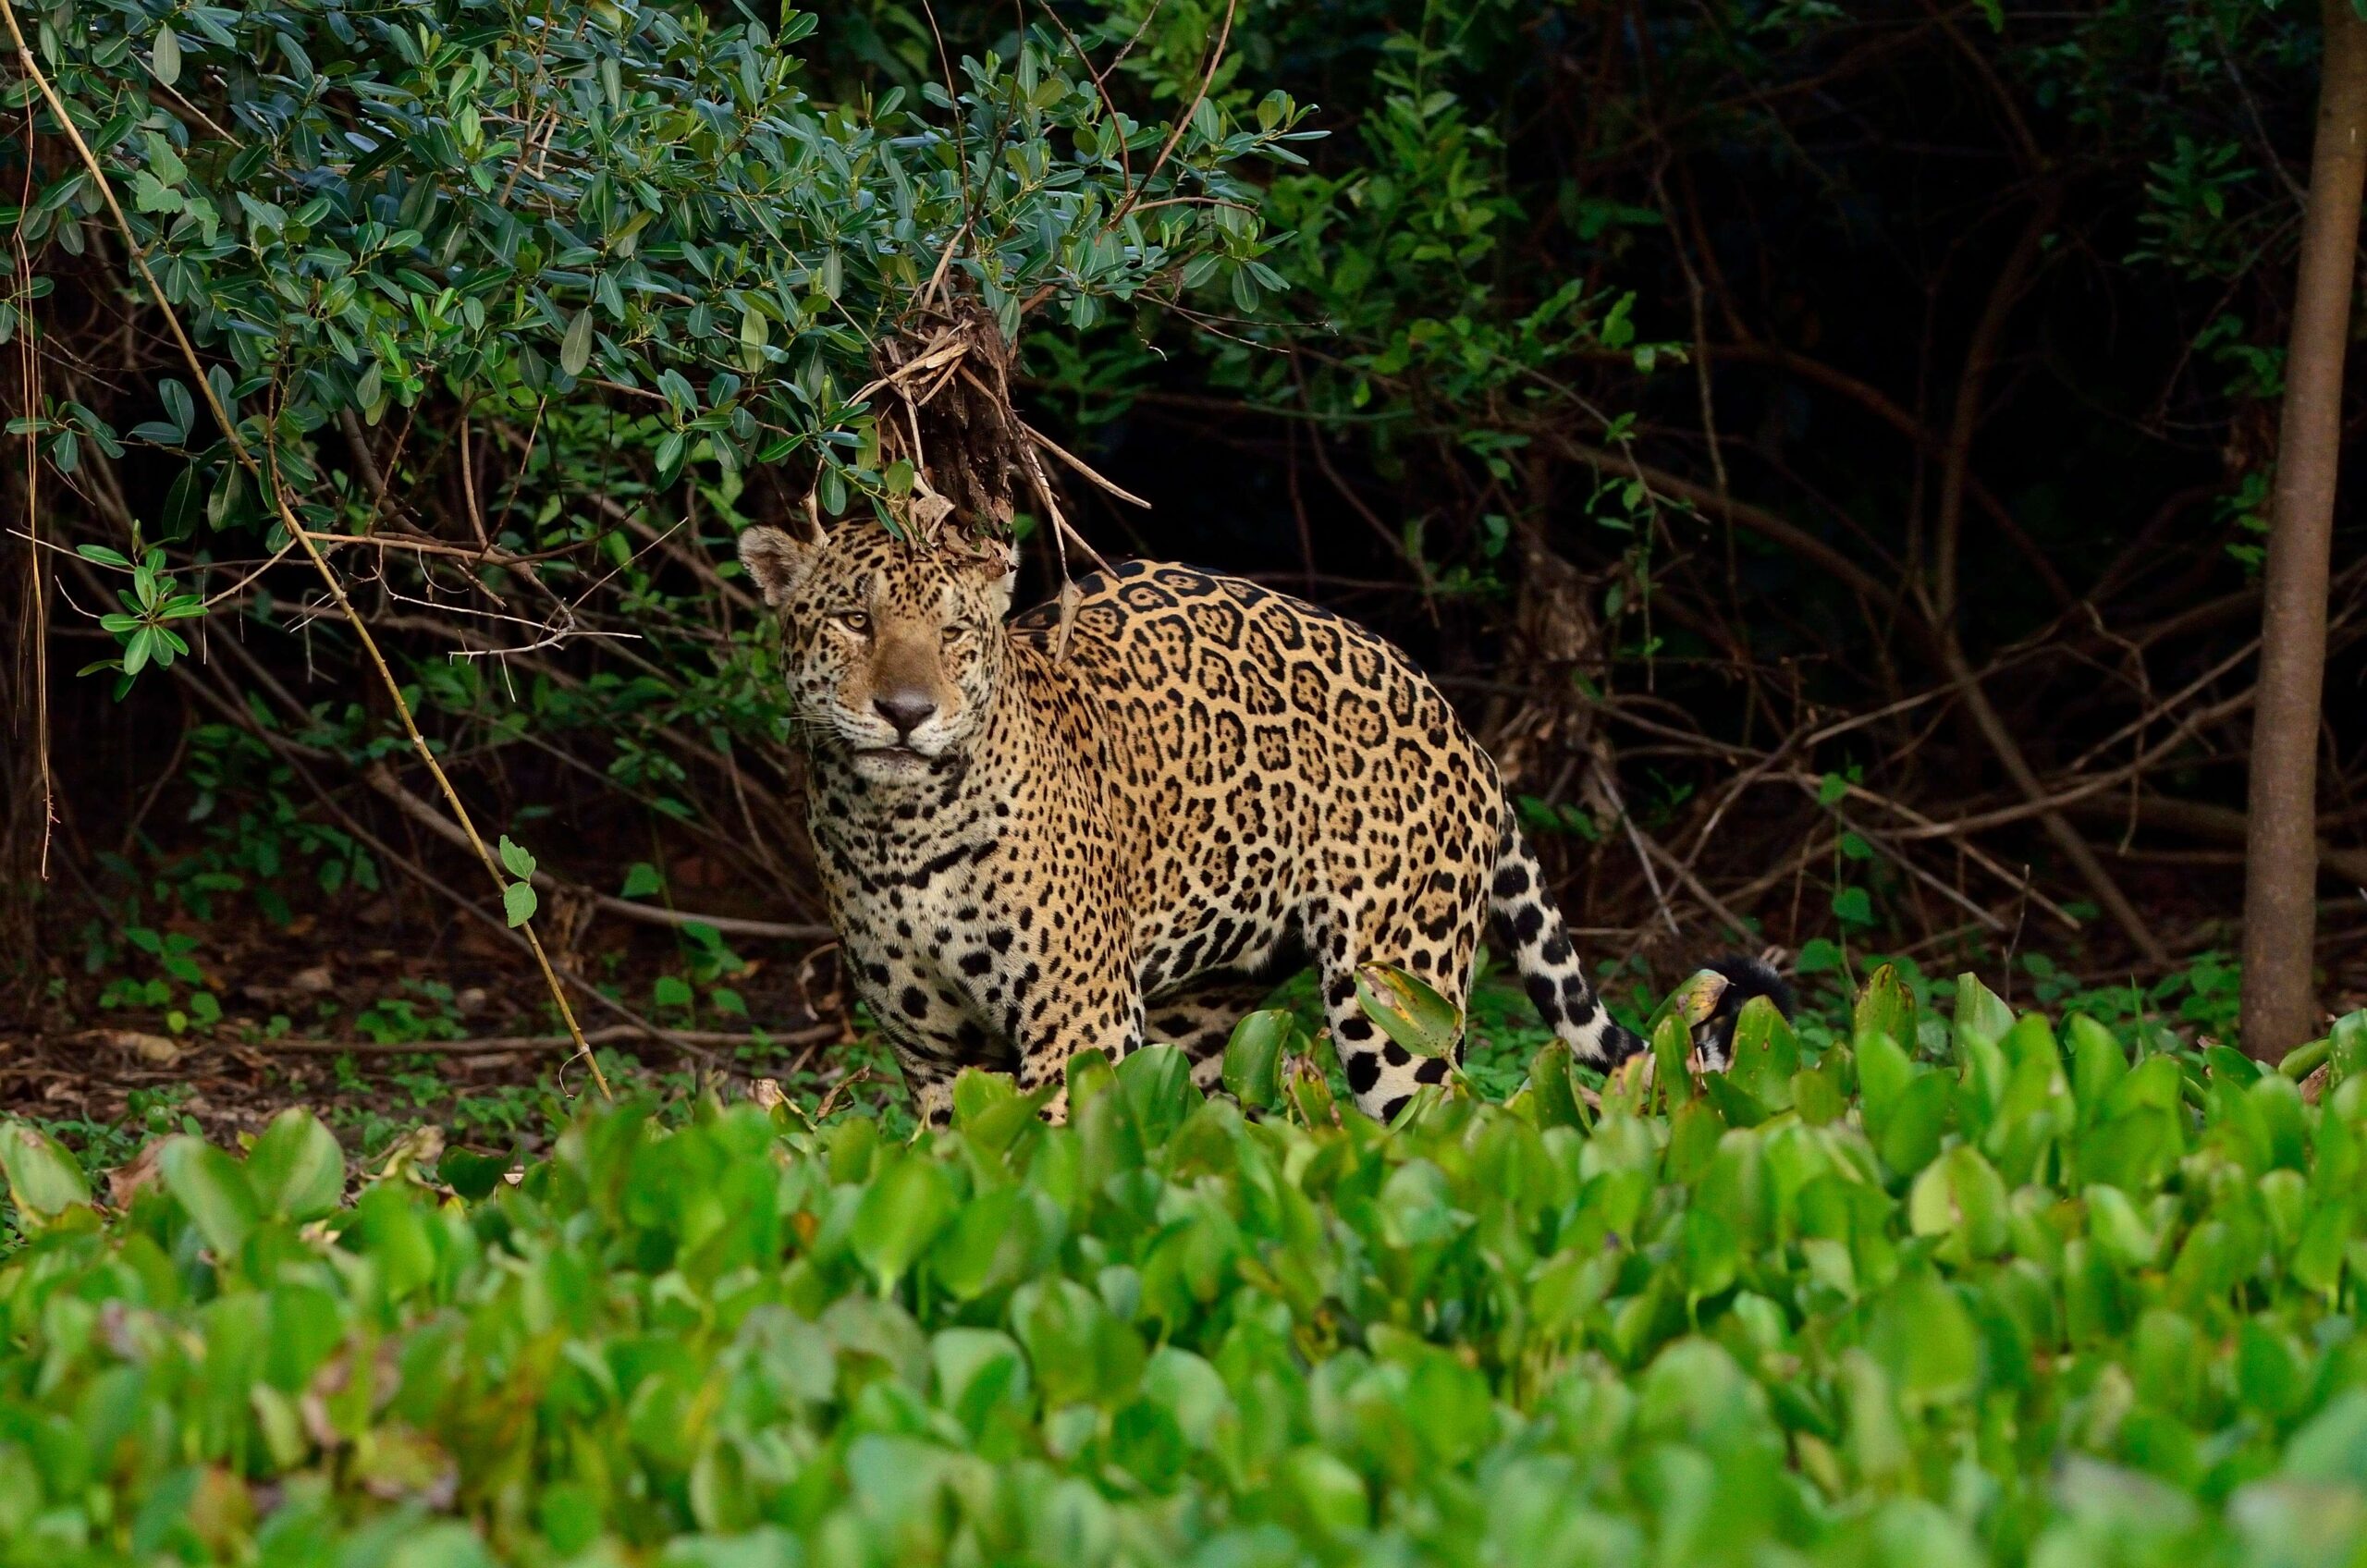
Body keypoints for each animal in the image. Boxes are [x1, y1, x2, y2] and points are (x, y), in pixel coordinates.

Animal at [739, 516, 1785, 1127]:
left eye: (955, 633)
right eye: (854, 622)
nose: (907, 712)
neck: (899, 826)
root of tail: (1464, 731)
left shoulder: (1077, 1026)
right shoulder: (934, 1058)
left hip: (1393, 1002)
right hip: (1203, 1023)